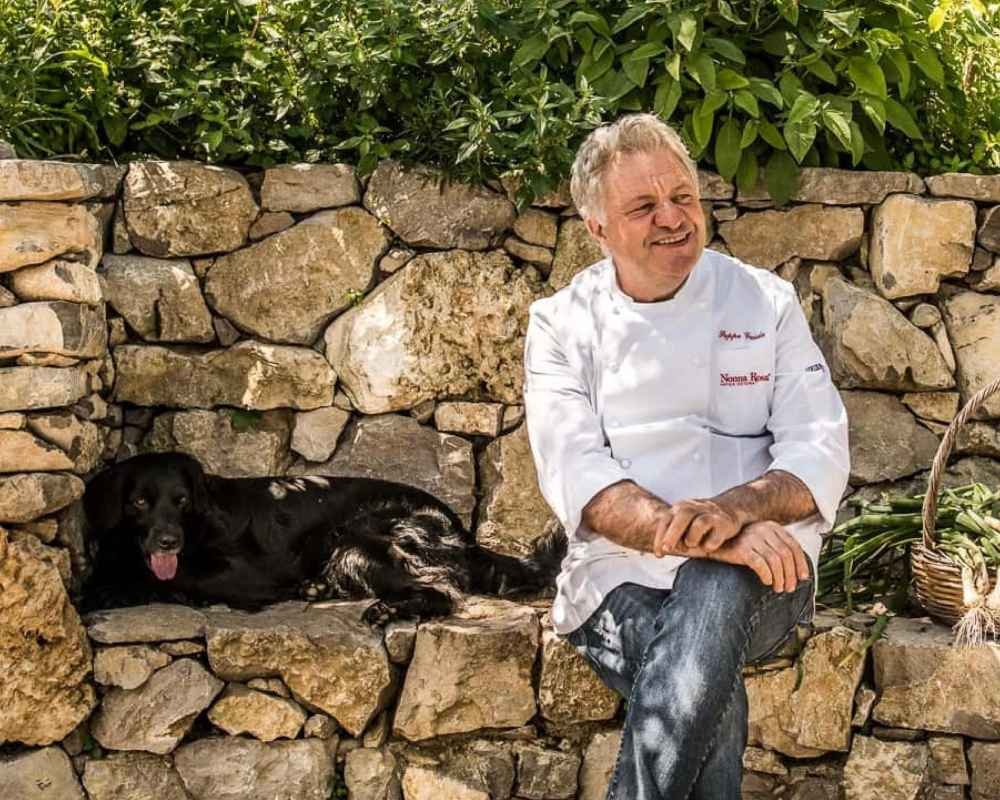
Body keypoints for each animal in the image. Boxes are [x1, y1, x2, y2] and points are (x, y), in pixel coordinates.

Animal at [82, 452, 565, 625]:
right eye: (139, 503)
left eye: (181, 501)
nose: (168, 542)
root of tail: (460, 530)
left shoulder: (245, 575)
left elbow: (180, 578)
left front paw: (120, 591)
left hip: (359, 537)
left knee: (442, 590)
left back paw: (387, 609)